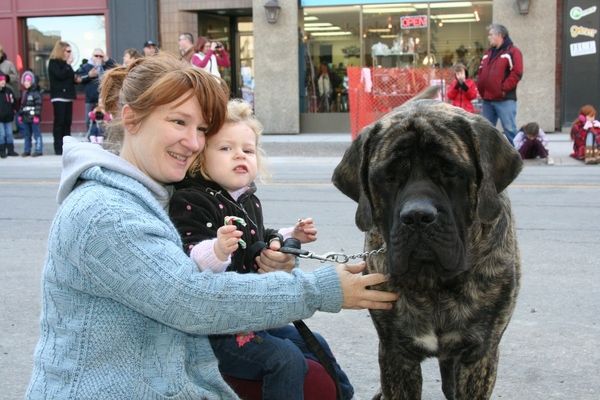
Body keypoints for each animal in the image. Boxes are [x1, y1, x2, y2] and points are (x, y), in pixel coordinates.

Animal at [332, 97, 522, 400]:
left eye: (450, 170)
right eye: (389, 176)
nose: (417, 216)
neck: (434, 283)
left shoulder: (479, 354)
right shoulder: (396, 355)